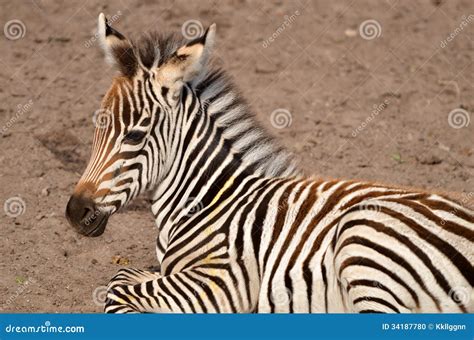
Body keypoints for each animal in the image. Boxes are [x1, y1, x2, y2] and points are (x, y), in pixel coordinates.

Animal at [65, 13, 474, 314]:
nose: (74, 212)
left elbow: (116, 289)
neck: (208, 200)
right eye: (95, 127)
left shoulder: (223, 281)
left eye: (134, 136)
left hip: (362, 235)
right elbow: (121, 277)